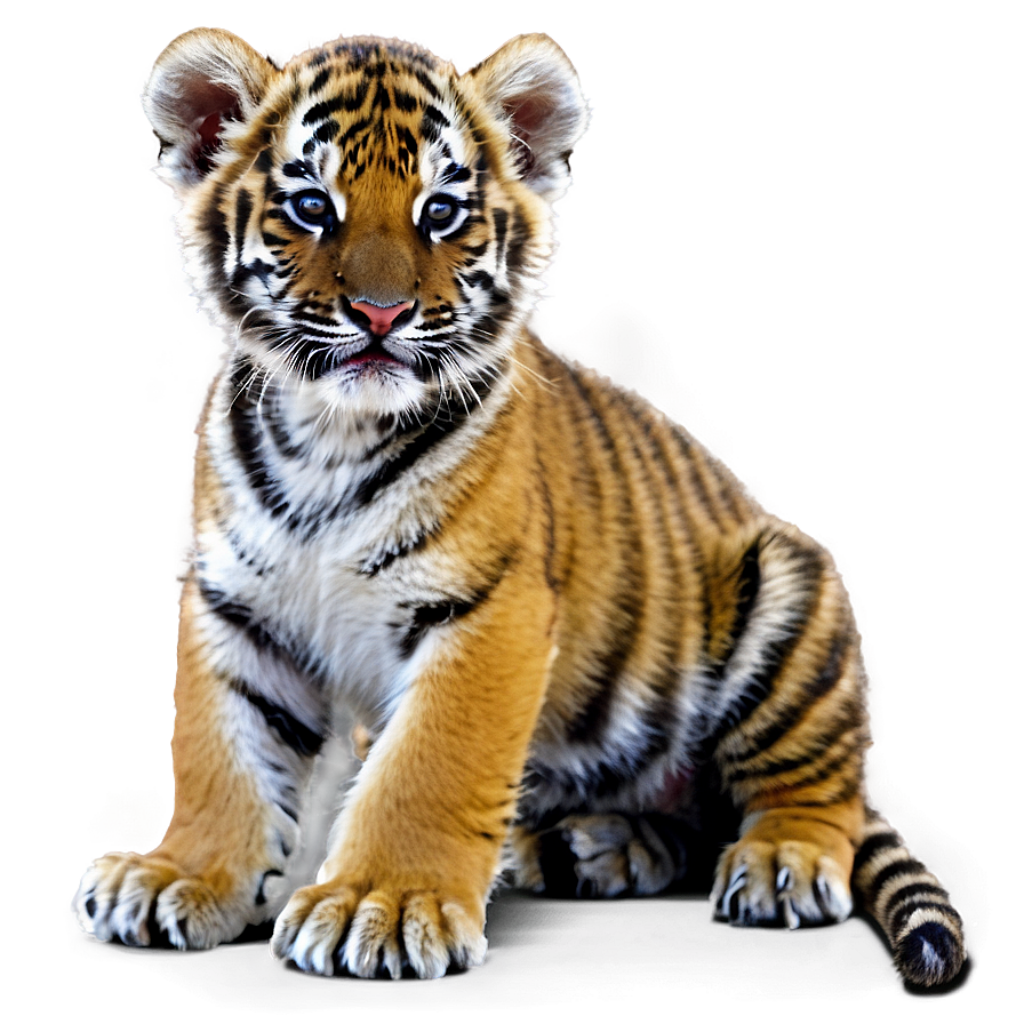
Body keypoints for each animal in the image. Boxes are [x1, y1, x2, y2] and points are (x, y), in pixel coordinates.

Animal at [75, 27, 967, 988]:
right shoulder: (236, 607)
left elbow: (427, 766)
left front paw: (380, 904)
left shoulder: (487, 609)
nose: (381, 313)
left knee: (809, 785)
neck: (328, 436)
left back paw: (781, 861)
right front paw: (178, 877)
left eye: (440, 212)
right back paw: (583, 848)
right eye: (311, 206)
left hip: (785, 588)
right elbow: (223, 757)